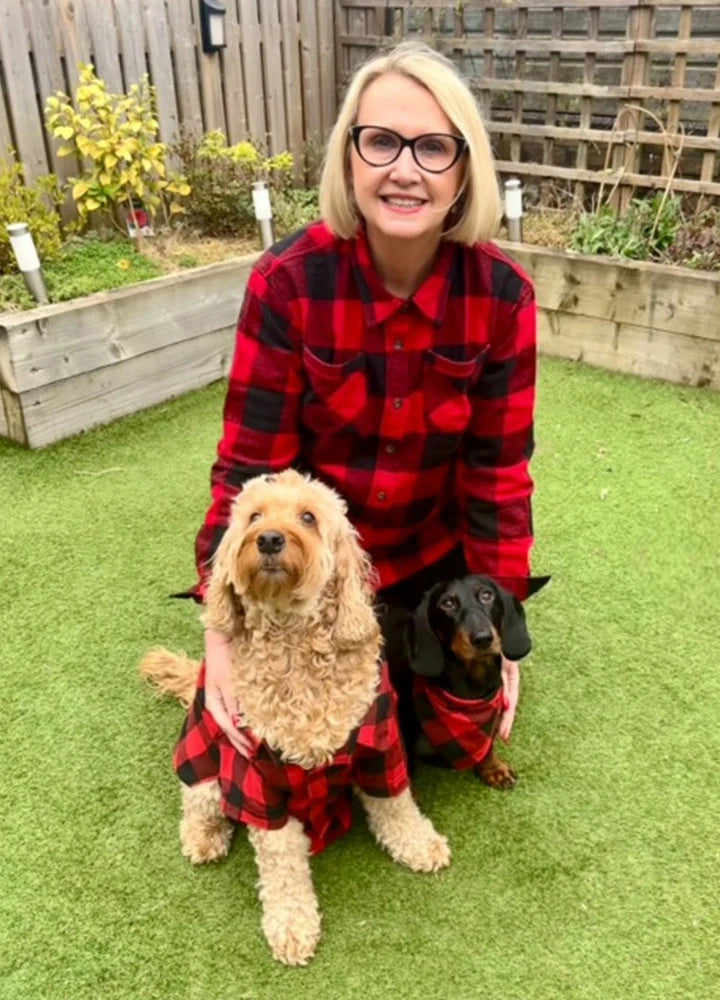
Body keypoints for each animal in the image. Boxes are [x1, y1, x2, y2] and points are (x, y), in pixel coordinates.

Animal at [139, 472, 450, 964]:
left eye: (308, 517)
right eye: (254, 516)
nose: (269, 538)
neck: (295, 645)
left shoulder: (380, 744)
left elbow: (396, 803)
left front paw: (417, 843)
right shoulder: (255, 777)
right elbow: (282, 861)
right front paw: (291, 925)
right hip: (207, 769)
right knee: (196, 803)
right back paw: (204, 836)